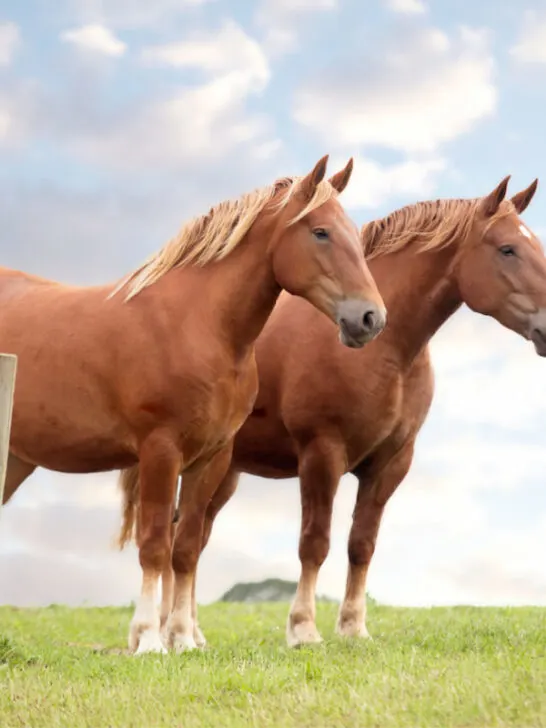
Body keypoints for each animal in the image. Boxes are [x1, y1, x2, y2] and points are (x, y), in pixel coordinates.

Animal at [0, 155, 387, 654]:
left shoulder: (212, 459)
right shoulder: (160, 451)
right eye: (320, 232)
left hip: (15, 459)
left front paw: (182, 638)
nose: (371, 318)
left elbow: (184, 549)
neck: (197, 326)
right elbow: (154, 545)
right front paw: (149, 639)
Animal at [118, 175, 546, 649]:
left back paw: (189, 632)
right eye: (507, 249)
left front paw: (353, 626)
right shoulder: (322, 454)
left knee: (193, 537)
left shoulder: (390, 464)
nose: (366, 321)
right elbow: (315, 542)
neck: (389, 354)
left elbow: (361, 545)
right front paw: (303, 628)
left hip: (222, 472)